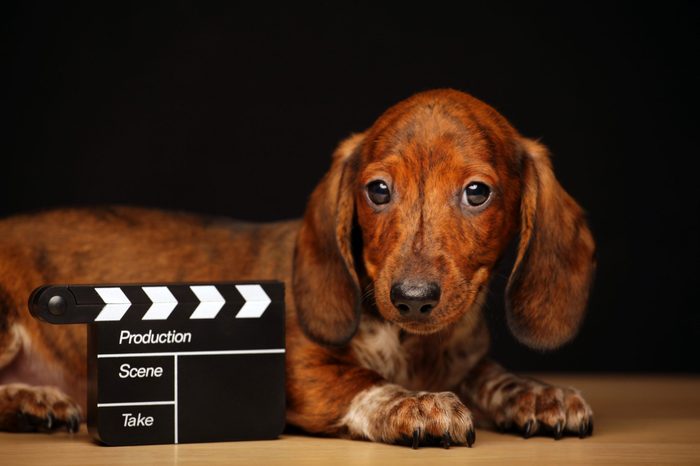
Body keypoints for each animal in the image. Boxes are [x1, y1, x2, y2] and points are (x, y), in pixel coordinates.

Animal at [0, 89, 596, 446]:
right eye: (378, 190)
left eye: (477, 193)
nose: (412, 297)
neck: (414, 345)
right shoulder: (298, 367)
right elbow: (365, 382)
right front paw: (417, 405)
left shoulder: (467, 362)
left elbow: (492, 376)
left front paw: (538, 393)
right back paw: (31, 398)